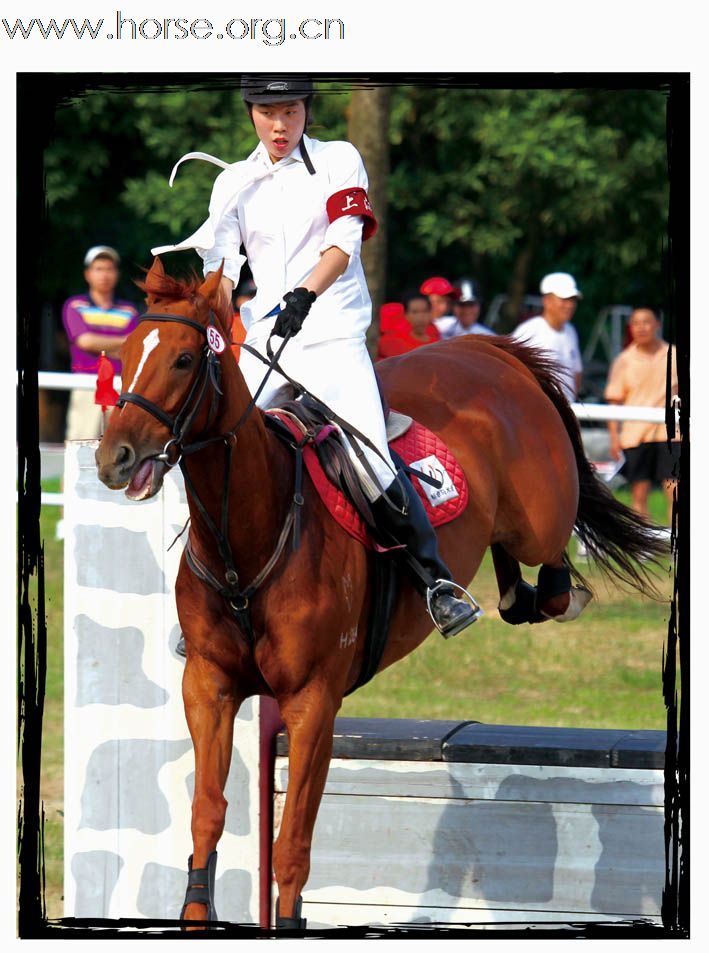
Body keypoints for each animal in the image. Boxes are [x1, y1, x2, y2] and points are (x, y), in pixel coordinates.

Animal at [94, 256, 664, 924]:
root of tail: (485, 348)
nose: (113, 458)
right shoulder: (208, 687)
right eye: (125, 352)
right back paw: (499, 596)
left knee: (548, 567)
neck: (250, 536)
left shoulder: (313, 702)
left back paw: (527, 594)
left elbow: (292, 849)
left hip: (540, 517)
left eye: (184, 359)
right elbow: (206, 817)